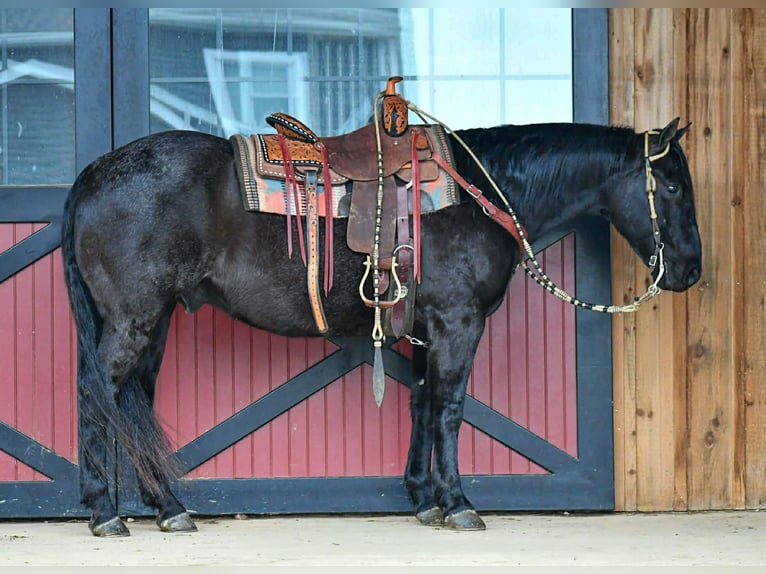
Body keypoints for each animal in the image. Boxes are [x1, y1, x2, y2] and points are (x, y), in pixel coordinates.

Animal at [61, 116, 702, 537]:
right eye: (671, 185)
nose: (691, 270)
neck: (479, 193)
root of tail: (93, 173)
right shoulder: (458, 323)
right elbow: (449, 410)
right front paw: (459, 503)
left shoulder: (428, 328)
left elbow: (422, 403)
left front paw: (423, 498)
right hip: (133, 319)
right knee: (95, 395)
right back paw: (104, 512)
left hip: (154, 321)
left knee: (132, 403)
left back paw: (168, 508)